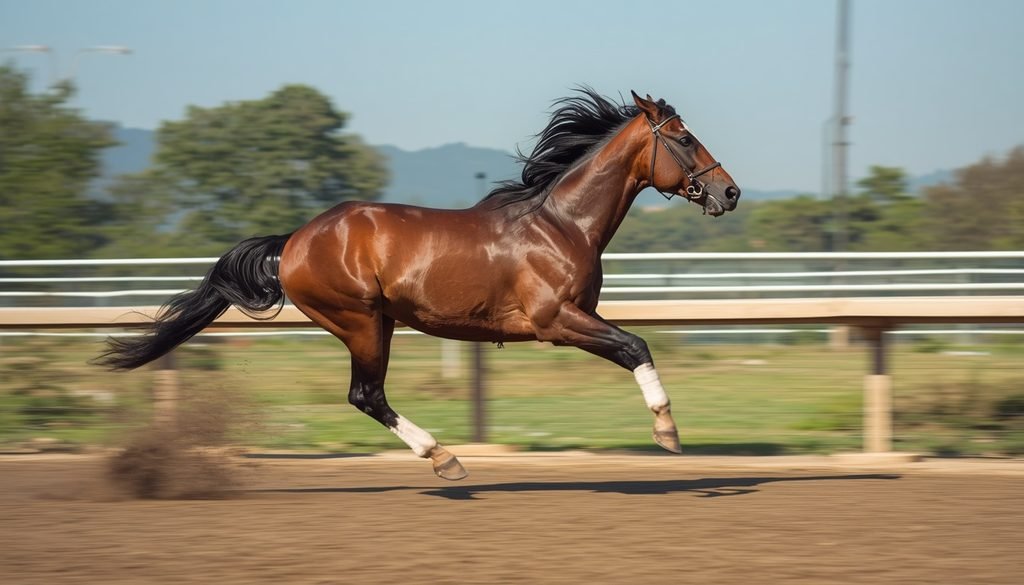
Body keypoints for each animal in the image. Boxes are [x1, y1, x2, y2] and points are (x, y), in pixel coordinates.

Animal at [98, 89, 741, 480]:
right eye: (684, 137)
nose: (729, 192)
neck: (562, 223)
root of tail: (296, 240)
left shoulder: (573, 317)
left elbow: (634, 345)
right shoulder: (555, 320)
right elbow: (636, 344)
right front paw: (668, 432)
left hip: (377, 322)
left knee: (368, 395)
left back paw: (443, 458)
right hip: (359, 320)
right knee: (366, 395)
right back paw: (444, 459)